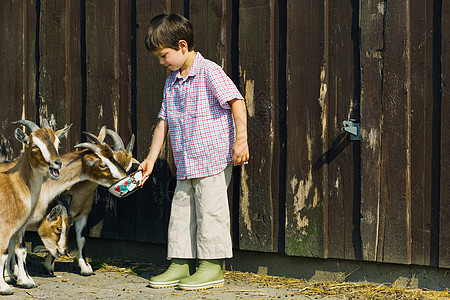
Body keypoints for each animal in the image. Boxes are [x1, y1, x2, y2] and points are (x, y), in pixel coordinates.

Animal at [0, 119, 71, 296]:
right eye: (34, 145)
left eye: (57, 143)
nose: (57, 163)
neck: (15, 185)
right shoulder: (5, 226)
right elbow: (3, 253)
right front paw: (5, 287)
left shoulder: (19, 227)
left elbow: (21, 250)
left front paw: (26, 281)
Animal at [4, 127, 129, 290]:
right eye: (102, 164)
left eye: (114, 158)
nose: (125, 178)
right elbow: (16, 247)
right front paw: (16, 277)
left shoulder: (80, 215)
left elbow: (80, 238)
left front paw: (85, 268)